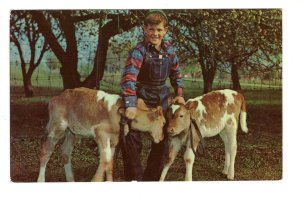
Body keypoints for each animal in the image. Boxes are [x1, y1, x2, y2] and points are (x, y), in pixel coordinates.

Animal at [37, 87, 166, 181]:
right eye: (164, 123)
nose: (162, 138)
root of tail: (56, 98)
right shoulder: (101, 133)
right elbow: (106, 158)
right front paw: (96, 180)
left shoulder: (114, 140)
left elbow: (110, 163)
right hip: (57, 126)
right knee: (46, 150)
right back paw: (41, 180)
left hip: (71, 131)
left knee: (65, 152)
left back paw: (71, 180)